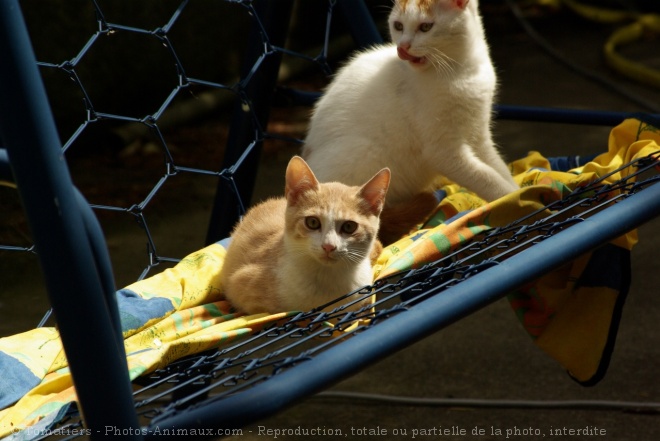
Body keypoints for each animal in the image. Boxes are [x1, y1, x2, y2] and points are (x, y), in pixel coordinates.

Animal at [302, 0, 516, 244]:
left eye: (425, 27)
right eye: (398, 25)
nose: (402, 47)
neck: (460, 70)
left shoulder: (479, 135)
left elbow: (497, 167)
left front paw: (519, 186)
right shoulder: (444, 152)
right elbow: (486, 178)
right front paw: (514, 197)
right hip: (365, 153)